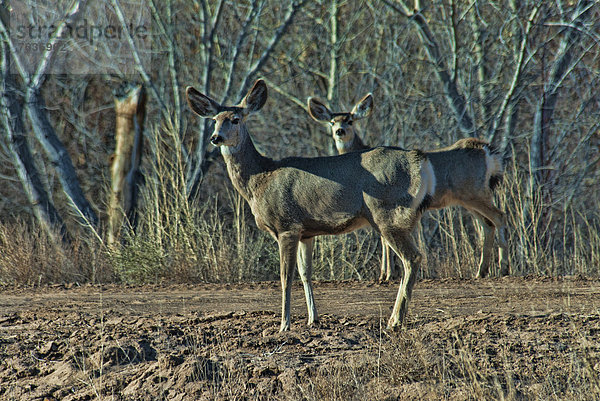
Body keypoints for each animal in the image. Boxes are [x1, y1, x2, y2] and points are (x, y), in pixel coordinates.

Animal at [185, 79, 434, 330]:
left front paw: (284, 325)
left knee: (412, 258)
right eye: (215, 120)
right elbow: (306, 273)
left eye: (236, 119)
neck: (260, 179)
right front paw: (312, 319)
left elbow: (286, 277)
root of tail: (419, 161)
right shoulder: (307, 232)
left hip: (388, 214)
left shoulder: (287, 225)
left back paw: (395, 320)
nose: (215, 137)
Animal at [308, 94, 508, 282]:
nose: (340, 131)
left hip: (475, 193)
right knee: (487, 224)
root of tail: (487, 151)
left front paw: (389, 274)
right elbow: (384, 239)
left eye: (350, 120)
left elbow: (384, 239)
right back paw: (481, 271)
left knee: (499, 216)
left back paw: (503, 268)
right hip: (467, 198)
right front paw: (384, 274)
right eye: (332, 121)